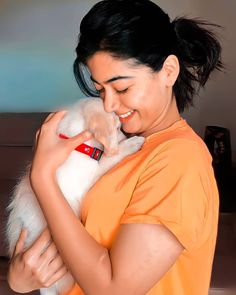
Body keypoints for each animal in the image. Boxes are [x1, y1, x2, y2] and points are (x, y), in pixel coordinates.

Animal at [6, 98, 145, 295]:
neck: (78, 146)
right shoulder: (90, 177)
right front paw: (132, 144)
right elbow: (108, 159)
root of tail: (46, 288)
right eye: (118, 127)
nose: (126, 137)